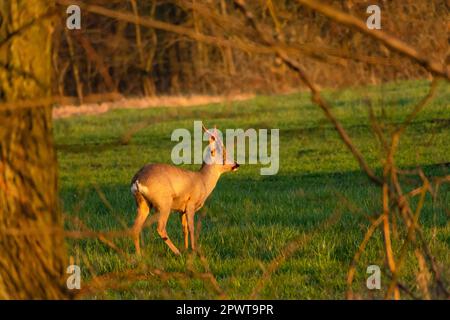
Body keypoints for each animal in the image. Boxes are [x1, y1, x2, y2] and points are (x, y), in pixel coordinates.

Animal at [129, 125, 239, 255]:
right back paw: (177, 252)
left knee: (135, 228)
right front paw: (194, 250)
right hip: (164, 204)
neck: (202, 180)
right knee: (160, 228)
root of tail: (137, 180)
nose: (237, 164)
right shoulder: (190, 204)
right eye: (223, 153)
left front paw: (186, 248)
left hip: (143, 204)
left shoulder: (181, 210)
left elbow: (184, 228)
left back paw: (139, 255)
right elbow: (192, 228)